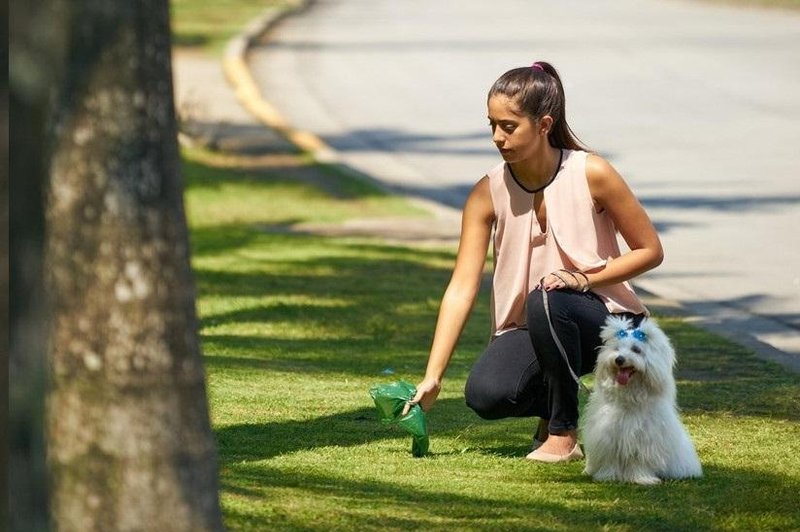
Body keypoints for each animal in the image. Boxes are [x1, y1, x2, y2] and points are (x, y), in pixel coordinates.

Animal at [580, 316, 700, 486]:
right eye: (616, 349)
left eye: (636, 350)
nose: (619, 359)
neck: (630, 395)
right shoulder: (608, 437)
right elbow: (610, 460)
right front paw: (608, 476)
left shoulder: (645, 442)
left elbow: (639, 462)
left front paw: (642, 478)